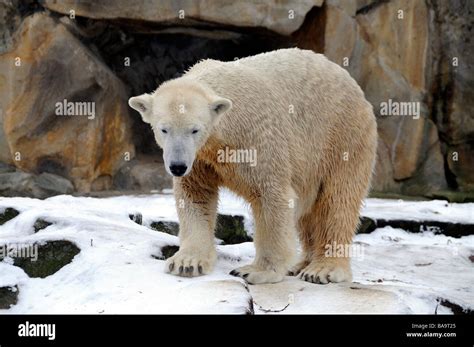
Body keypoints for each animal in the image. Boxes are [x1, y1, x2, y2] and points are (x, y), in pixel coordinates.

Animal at [129, 48, 378, 286]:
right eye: (164, 129)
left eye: (194, 129)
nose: (178, 166)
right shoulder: (200, 158)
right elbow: (196, 195)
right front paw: (187, 263)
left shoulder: (254, 139)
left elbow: (271, 196)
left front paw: (257, 271)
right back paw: (301, 264)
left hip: (341, 136)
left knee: (337, 200)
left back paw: (322, 269)